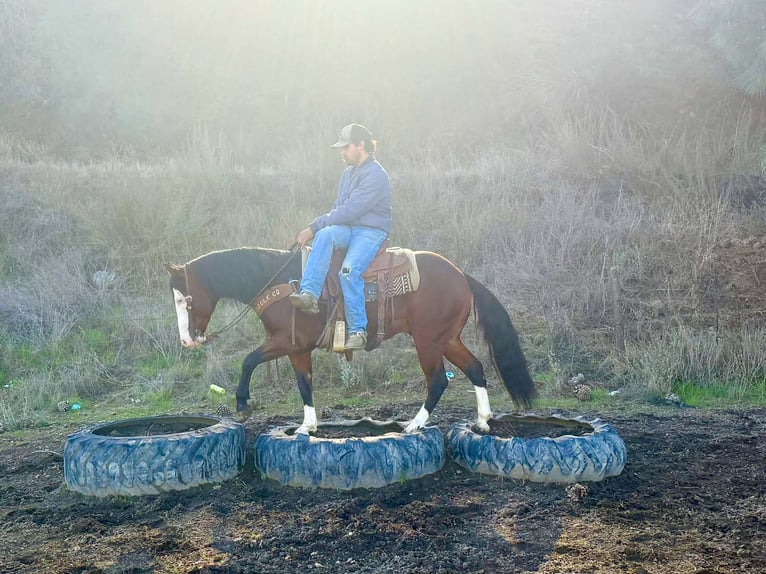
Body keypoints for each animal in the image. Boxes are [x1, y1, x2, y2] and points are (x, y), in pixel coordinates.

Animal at [165, 247, 535, 434]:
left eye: (185, 299)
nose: (187, 341)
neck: (283, 284)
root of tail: (461, 275)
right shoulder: (298, 349)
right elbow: (304, 384)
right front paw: (307, 426)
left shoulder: (285, 342)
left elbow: (248, 360)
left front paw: (242, 405)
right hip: (446, 339)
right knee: (475, 369)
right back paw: (482, 421)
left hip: (428, 341)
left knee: (438, 381)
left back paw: (413, 425)